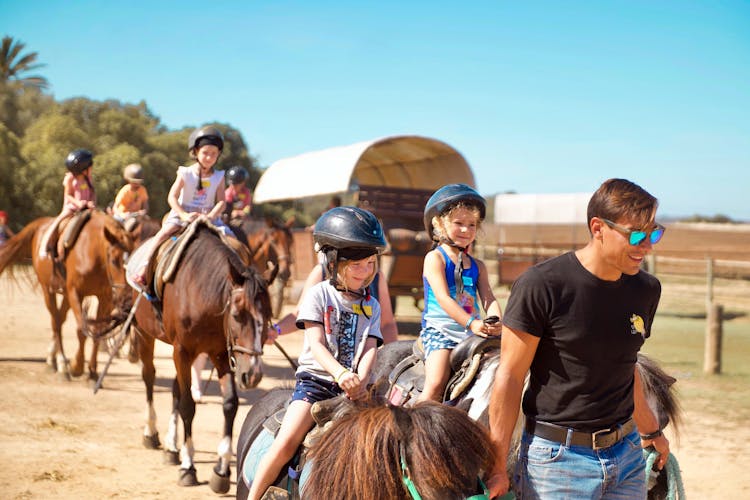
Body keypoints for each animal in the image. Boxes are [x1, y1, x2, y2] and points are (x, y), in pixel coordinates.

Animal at [0, 210, 133, 378]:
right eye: (114, 260)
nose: (127, 298)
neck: (93, 252)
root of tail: (41, 224)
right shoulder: (76, 293)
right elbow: (81, 330)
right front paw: (77, 366)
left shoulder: (104, 298)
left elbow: (97, 332)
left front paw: (92, 372)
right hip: (48, 290)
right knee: (56, 321)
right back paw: (60, 363)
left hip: (65, 296)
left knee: (60, 318)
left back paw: (54, 359)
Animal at [131, 225, 274, 494]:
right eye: (237, 315)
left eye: (269, 316)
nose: (253, 374)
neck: (200, 291)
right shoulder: (182, 351)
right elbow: (188, 405)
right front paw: (188, 466)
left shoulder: (221, 353)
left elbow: (229, 404)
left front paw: (221, 470)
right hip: (145, 335)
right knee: (149, 377)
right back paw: (151, 432)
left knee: (175, 388)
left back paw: (171, 447)